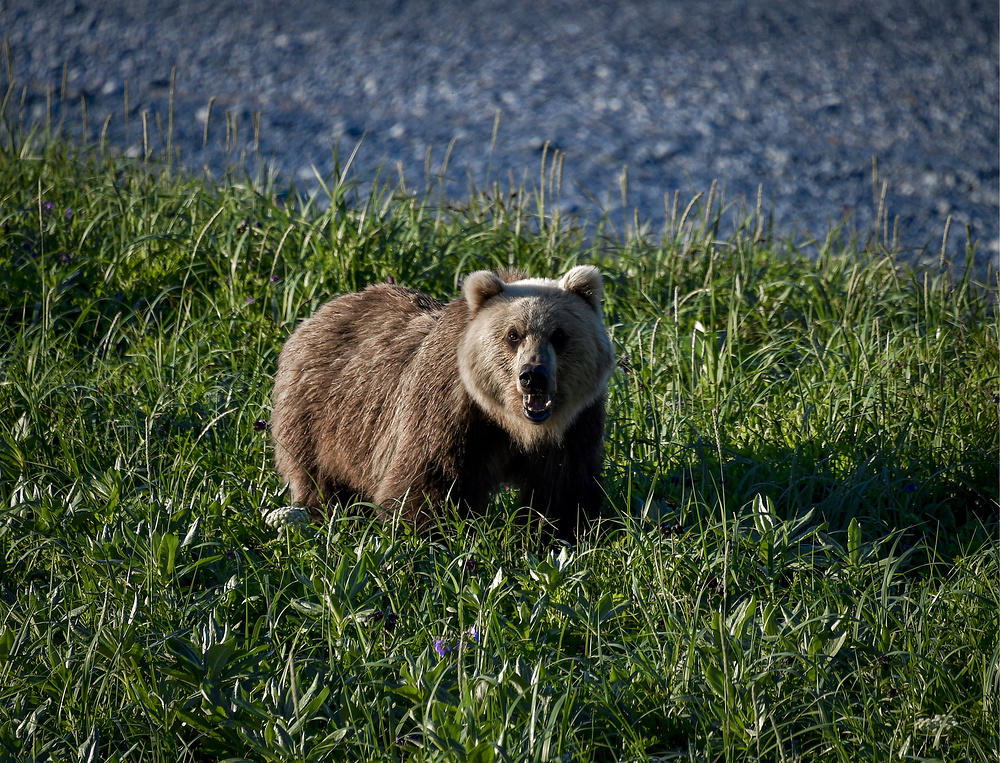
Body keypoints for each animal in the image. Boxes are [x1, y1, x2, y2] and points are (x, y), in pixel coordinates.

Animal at [270, 266, 612, 540]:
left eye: (559, 334)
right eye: (513, 335)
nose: (533, 376)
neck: (513, 425)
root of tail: (324, 310)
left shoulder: (576, 426)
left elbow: (564, 489)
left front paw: (560, 534)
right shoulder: (448, 414)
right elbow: (426, 483)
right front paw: (427, 537)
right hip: (321, 417)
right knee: (319, 481)